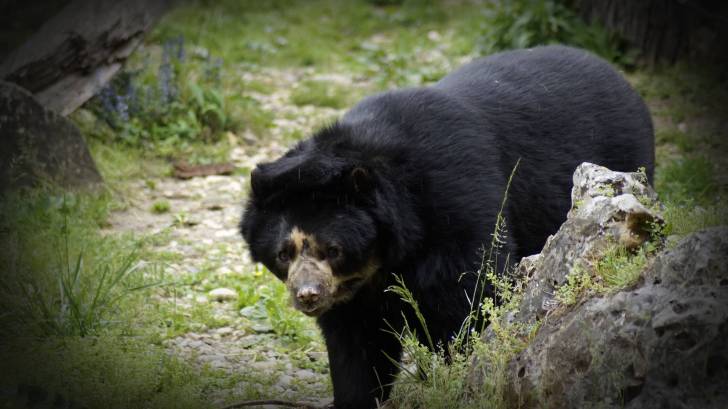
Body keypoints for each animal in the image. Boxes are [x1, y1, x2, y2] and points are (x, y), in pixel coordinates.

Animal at [240, 45, 654, 409]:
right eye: (284, 253)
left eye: (333, 250)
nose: (308, 295)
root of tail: (619, 77)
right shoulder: (351, 292)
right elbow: (355, 343)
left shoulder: (457, 206)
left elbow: (470, 295)